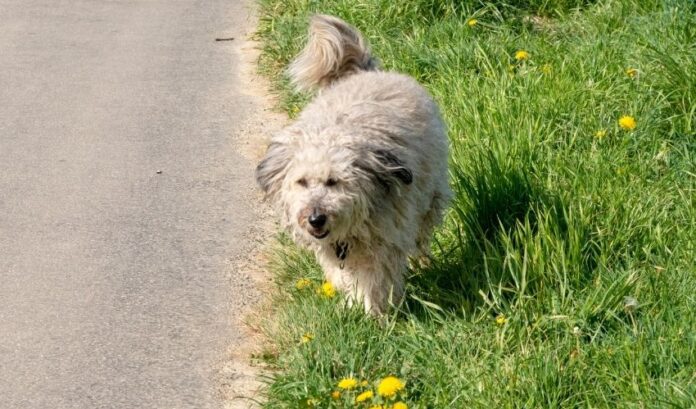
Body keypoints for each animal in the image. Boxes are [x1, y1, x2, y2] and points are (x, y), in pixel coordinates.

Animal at [256, 12, 452, 312]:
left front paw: (374, 313)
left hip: (430, 197)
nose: (315, 219)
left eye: (333, 182)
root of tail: (365, 73)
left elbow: (375, 280)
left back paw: (422, 262)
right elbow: (343, 275)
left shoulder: (384, 239)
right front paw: (352, 304)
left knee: (421, 236)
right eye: (301, 182)